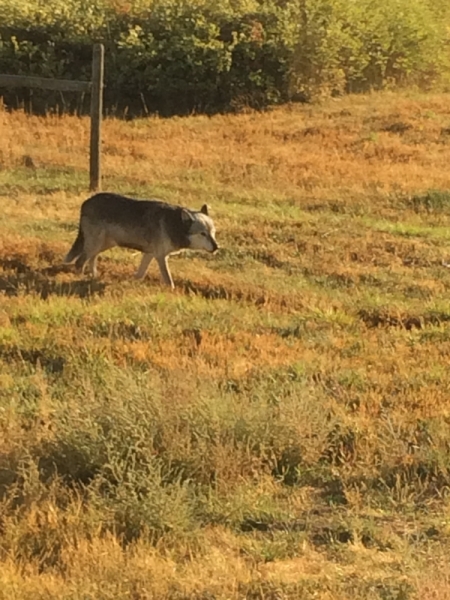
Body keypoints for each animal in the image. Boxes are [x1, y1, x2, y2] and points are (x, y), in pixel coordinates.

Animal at [64, 192, 219, 286]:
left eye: (213, 233)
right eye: (203, 234)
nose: (217, 247)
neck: (174, 224)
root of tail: (86, 202)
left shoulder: (149, 254)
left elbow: (139, 275)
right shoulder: (160, 256)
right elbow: (169, 281)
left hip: (103, 245)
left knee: (91, 259)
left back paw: (94, 276)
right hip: (96, 244)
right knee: (79, 262)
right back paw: (80, 279)